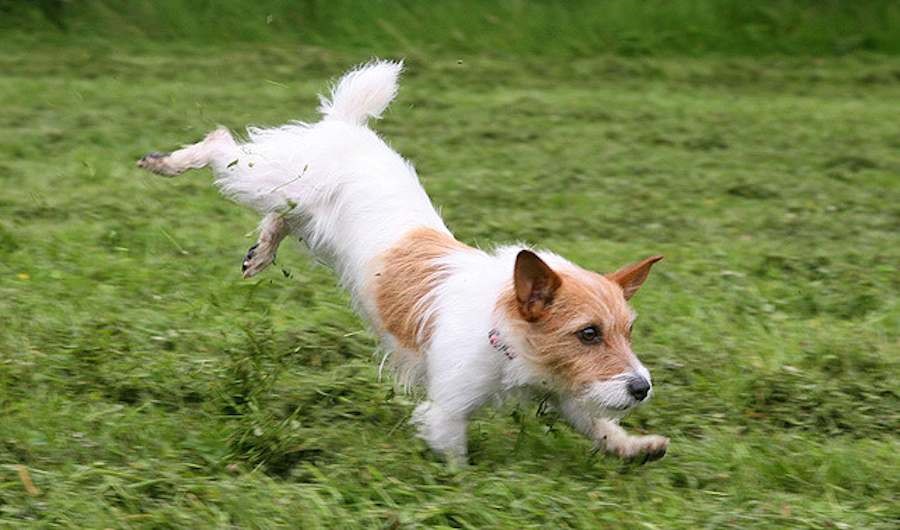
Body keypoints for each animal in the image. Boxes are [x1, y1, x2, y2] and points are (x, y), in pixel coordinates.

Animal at [139, 58, 668, 462]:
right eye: (588, 333)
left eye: (628, 331)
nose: (642, 388)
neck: (501, 327)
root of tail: (345, 125)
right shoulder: (447, 410)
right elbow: (454, 455)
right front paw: (461, 492)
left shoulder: (568, 392)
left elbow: (598, 425)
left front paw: (638, 446)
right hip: (261, 177)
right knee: (221, 144)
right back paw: (168, 162)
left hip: (298, 209)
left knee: (279, 219)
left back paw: (261, 253)